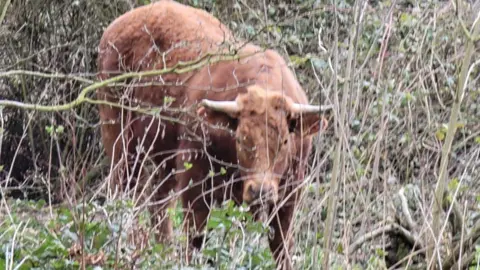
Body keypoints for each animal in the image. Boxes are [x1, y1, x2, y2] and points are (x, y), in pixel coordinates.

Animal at [96, 1, 330, 268]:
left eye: (284, 142)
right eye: (241, 139)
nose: (260, 191)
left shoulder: (289, 194)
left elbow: (281, 246)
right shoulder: (195, 183)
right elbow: (195, 239)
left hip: (163, 160)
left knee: (158, 204)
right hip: (120, 138)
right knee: (124, 191)